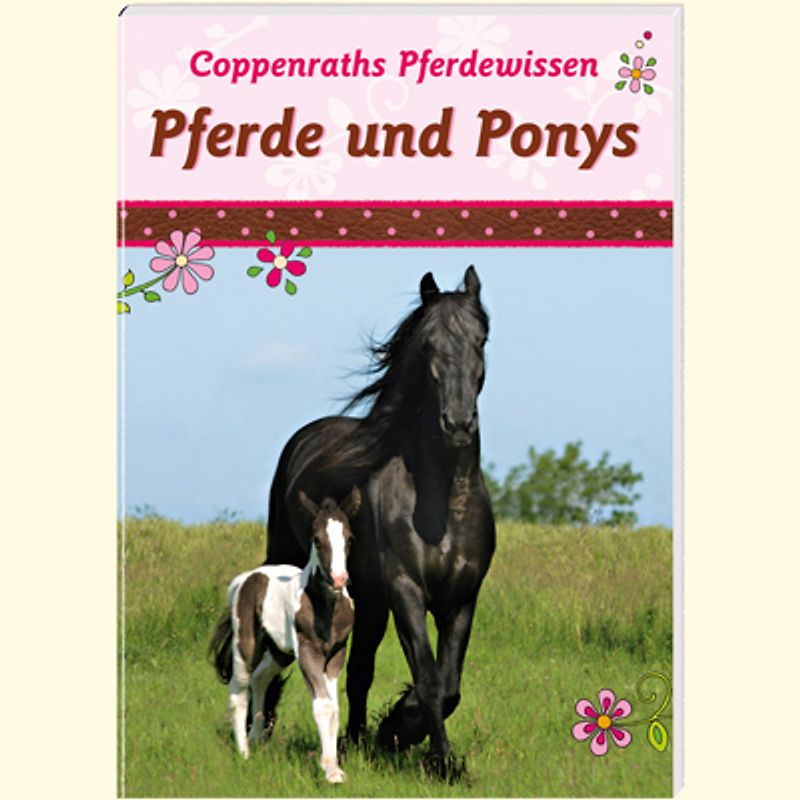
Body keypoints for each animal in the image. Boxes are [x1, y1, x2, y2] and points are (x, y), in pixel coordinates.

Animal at [210, 487, 361, 783]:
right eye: (316, 540)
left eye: (349, 538)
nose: (339, 579)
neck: (326, 608)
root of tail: (245, 579)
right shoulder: (308, 652)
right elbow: (324, 706)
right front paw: (330, 771)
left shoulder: (336, 655)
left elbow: (335, 708)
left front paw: (335, 767)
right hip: (247, 645)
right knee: (238, 691)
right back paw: (244, 753)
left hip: (280, 651)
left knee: (260, 678)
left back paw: (255, 739)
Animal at [263, 265, 495, 777]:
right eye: (428, 345)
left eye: (482, 339)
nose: (458, 423)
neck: (444, 503)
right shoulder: (406, 589)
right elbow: (429, 679)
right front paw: (440, 761)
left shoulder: (461, 597)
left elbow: (448, 684)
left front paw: (396, 731)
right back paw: (263, 732)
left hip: (368, 599)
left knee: (359, 670)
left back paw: (353, 741)